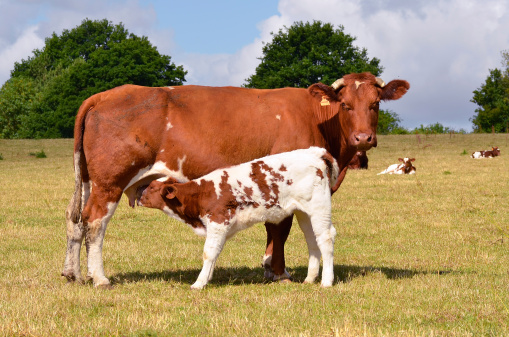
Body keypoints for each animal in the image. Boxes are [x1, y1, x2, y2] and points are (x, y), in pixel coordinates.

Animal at [137, 147, 340, 288]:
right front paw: (207, 278)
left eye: (152, 187)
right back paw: (310, 278)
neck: (202, 193)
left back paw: (326, 281)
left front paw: (199, 283)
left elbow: (209, 252)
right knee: (312, 240)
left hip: (319, 206)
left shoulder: (218, 222)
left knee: (326, 238)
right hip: (304, 212)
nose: (138, 194)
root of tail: (315, 152)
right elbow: (215, 252)